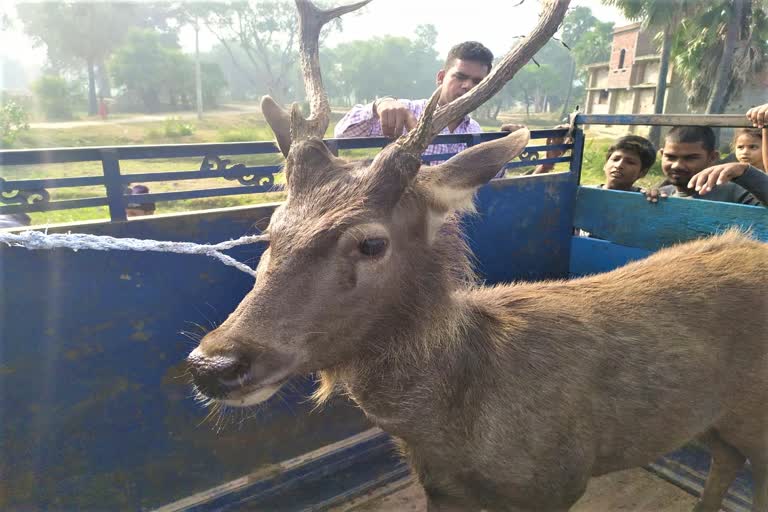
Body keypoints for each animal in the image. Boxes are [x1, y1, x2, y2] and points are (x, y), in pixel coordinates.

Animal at [186, 2, 768, 510]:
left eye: (371, 242)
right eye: (269, 231)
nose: (213, 363)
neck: (461, 432)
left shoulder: (560, 481)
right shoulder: (439, 487)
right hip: (719, 420)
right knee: (725, 460)